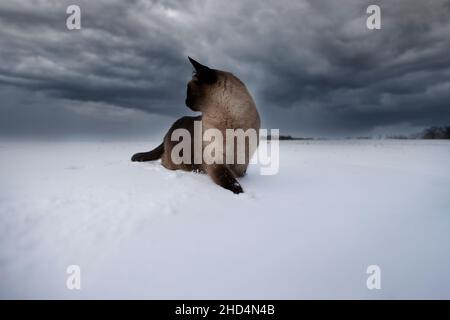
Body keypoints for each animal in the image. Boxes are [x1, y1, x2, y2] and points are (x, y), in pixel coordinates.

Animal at [131, 56, 260, 194]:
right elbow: (229, 180)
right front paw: (240, 192)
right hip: (176, 160)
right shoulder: (215, 160)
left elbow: (239, 175)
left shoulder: (242, 163)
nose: (185, 101)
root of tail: (169, 129)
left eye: (189, 90)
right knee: (163, 160)